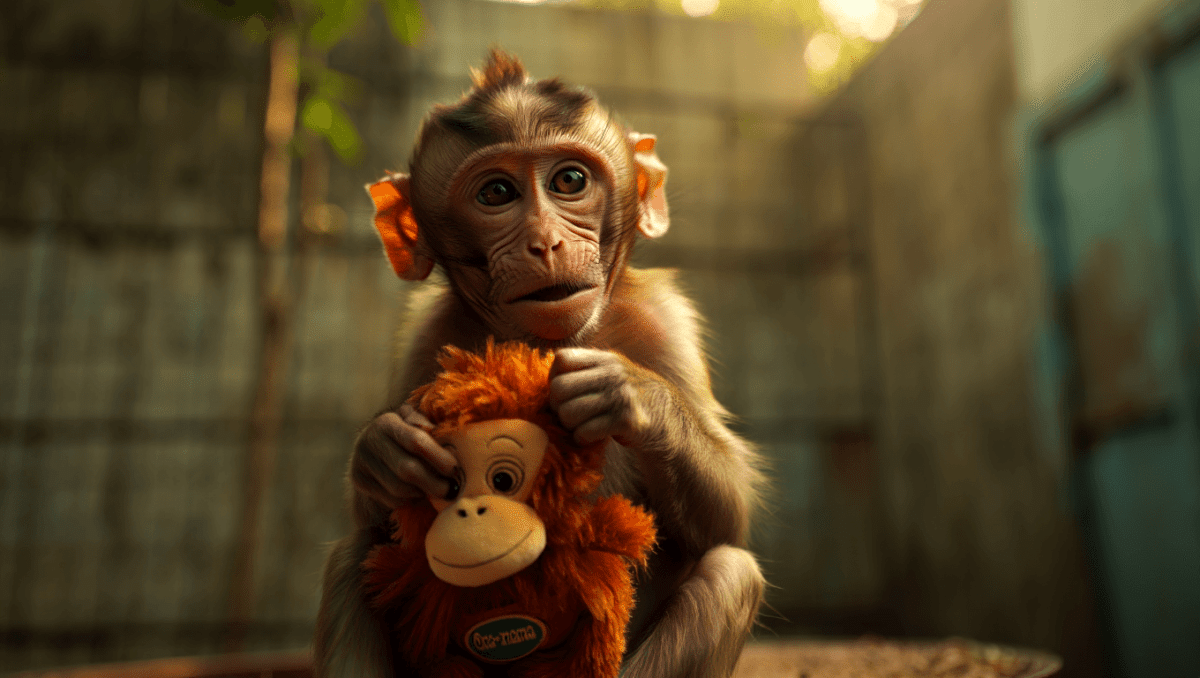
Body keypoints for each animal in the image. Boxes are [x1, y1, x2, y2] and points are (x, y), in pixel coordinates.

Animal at [314, 49, 765, 678]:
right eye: (497, 193)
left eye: (569, 181)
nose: (546, 241)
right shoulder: (427, 338)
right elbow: (383, 528)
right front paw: (385, 450)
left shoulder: (664, 323)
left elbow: (726, 523)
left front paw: (630, 394)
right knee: (356, 557)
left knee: (729, 573)